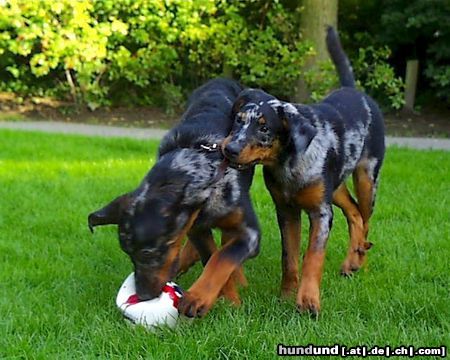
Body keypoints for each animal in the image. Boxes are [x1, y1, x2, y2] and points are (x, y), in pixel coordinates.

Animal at [88, 79, 260, 318]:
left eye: (148, 253)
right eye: (127, 252)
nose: (142, 296)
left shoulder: (250, 233)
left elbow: (222, 258)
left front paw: (200, 297)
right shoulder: (196, 229)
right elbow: (210, 255)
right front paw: (228, 300)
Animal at [221, 27, 384, 316]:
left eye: (264, 127)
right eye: (238, 121)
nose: (230, 149)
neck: (288, 164)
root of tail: (354, 91)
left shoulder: (321, 213)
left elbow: (312, 258)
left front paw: (308, 301)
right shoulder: (286, 211)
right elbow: (290, 258)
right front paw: (286, 296)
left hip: (367, 178)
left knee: (365, 220)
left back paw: (357, 260)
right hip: (335, 188)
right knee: (354, 213)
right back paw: (350, 262)